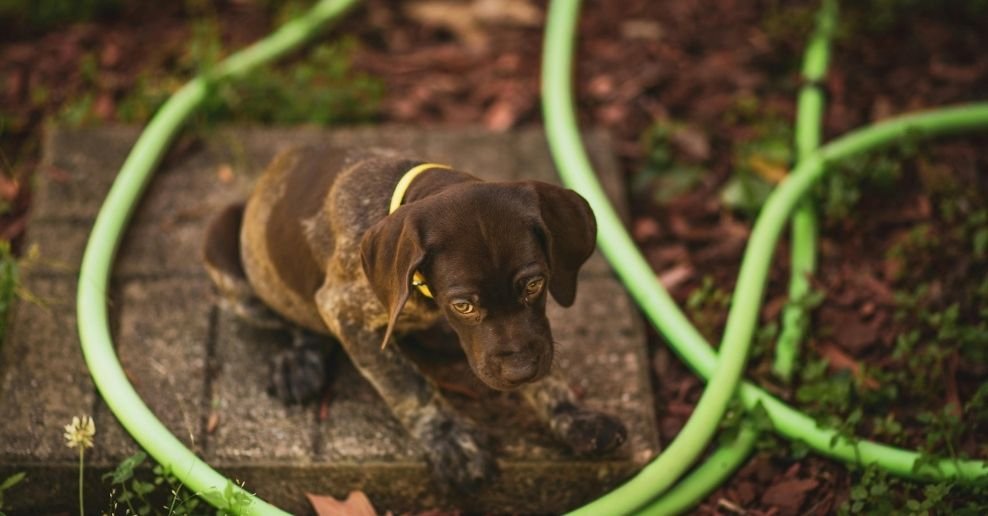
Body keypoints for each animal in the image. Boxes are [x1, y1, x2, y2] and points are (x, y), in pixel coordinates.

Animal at [203, 144, 624, 488]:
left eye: (535, 284)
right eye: (464, 305)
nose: (519, 372)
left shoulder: (532, 335)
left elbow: (544, 365)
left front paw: (573, 415)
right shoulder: (344, 310)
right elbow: (407, 383)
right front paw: (451, 439)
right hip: (226, 254)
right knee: (296, 319)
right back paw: (299, 362)